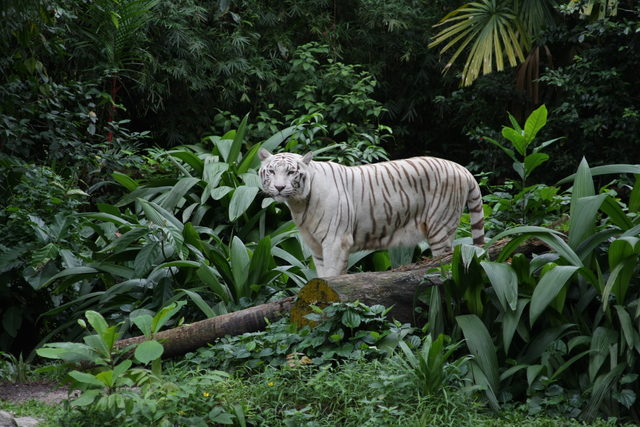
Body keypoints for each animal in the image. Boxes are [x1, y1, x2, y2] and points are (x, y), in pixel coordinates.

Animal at [258, 148, 484, 277]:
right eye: (272, 171)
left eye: (291, 172)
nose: (279, 187)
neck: (299, 203)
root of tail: (461, 168)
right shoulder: (315, 244)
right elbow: (322, 274)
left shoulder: (335, 240)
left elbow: (331, 275)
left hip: (440, 227)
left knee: (445, 258)